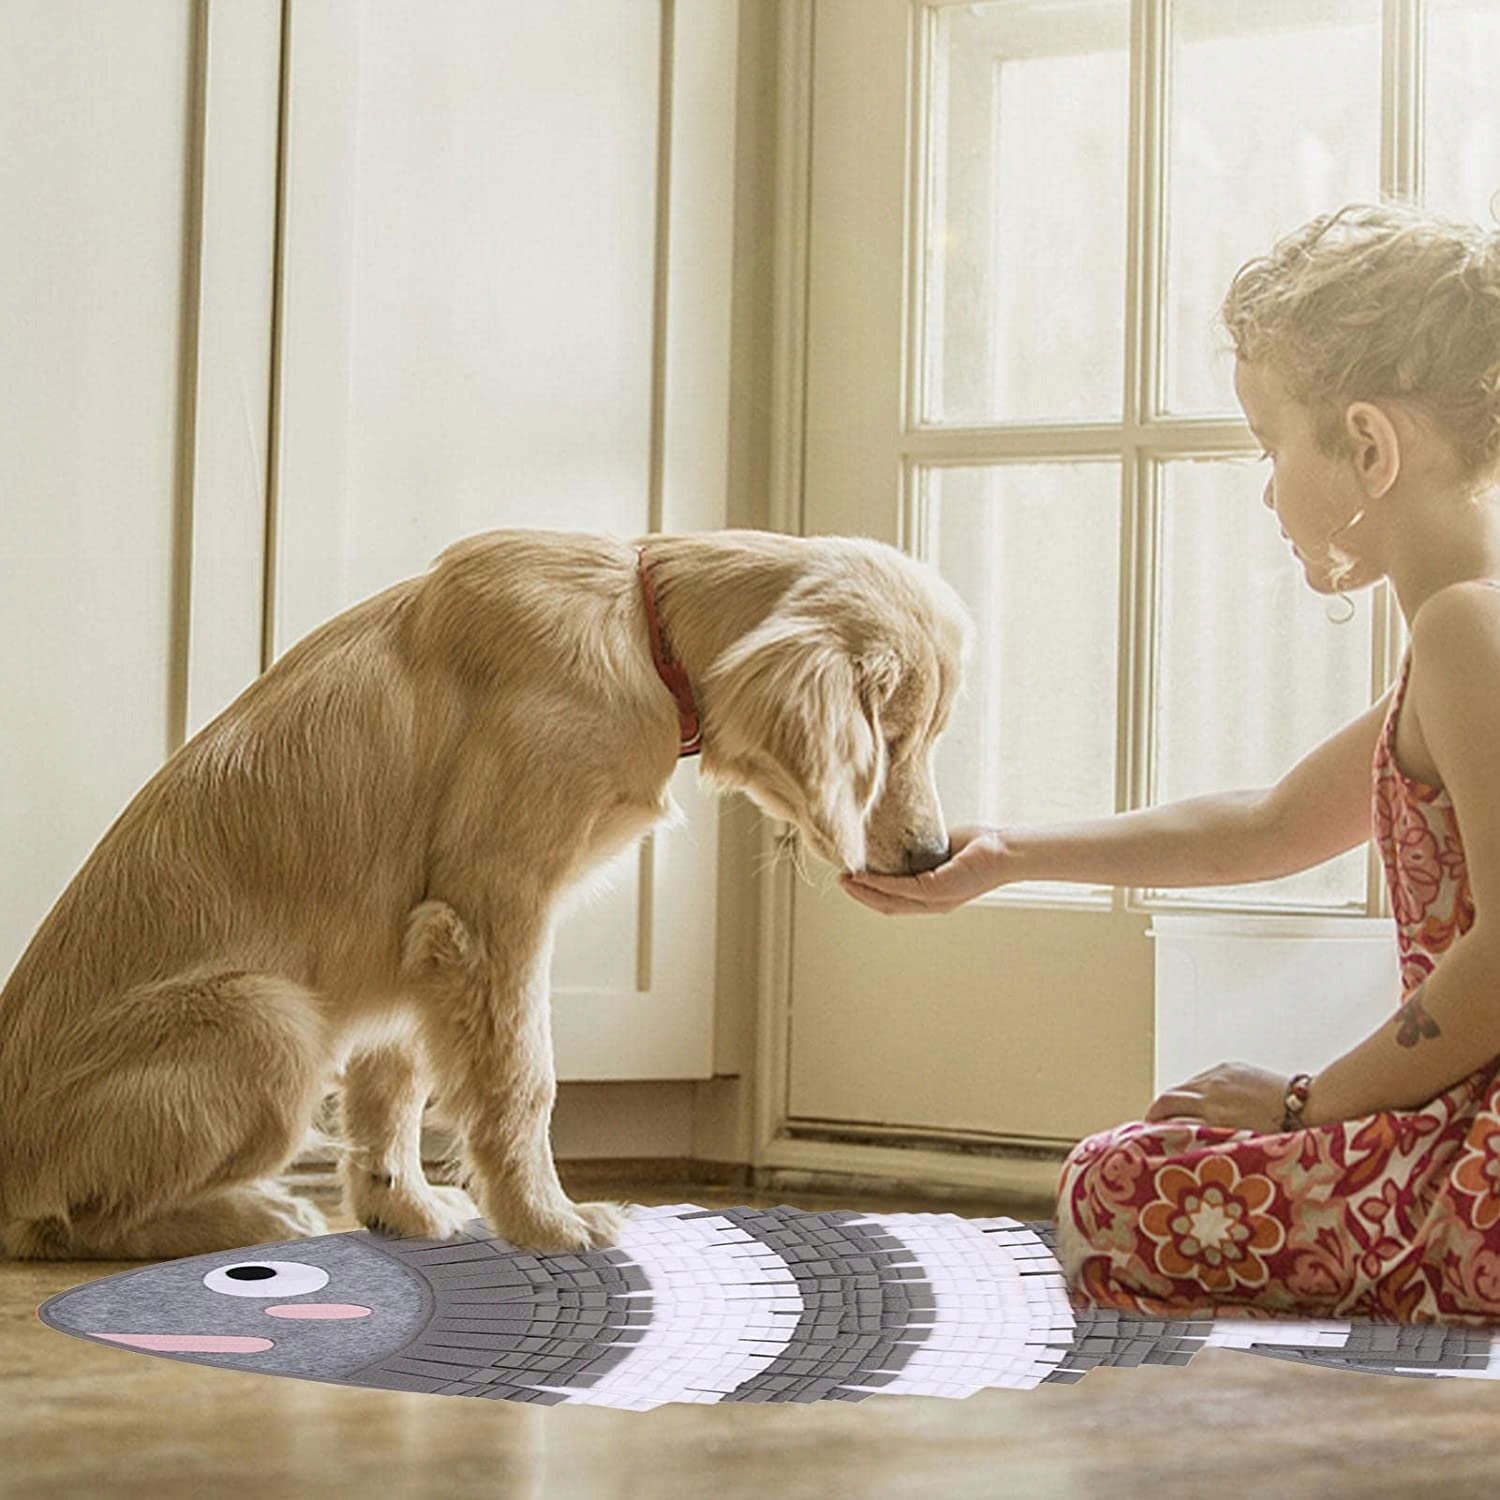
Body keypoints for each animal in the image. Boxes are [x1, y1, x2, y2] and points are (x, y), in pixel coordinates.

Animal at [0, 534, 972, 1260]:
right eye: (891, 735)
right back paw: (255, 1214)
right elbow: (522, 1081)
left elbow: (392, 1089)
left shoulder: (418, 940)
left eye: (927, 731)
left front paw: (402, 1208)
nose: (931, 857)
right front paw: (549, 1222)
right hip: (271, 1020)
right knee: (55, 1224)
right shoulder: (493, 911)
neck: (640, 631)